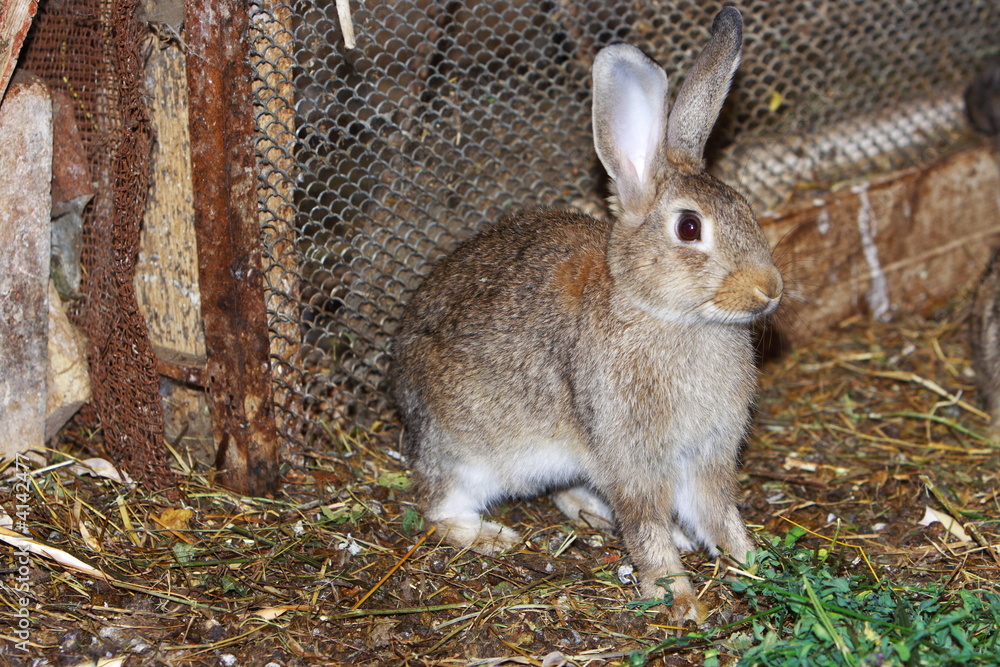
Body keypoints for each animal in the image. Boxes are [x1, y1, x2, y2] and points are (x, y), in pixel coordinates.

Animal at [390, 7, 782, 624]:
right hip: (463, 452)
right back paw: (490, 535)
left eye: (746, 208)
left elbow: (718, 514)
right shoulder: (631, 456)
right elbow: (646, 527)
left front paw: (757, 564)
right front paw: (680, 600)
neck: (668, 316)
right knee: (437, 506)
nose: (769, 290)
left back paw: (591, 511)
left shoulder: (706, 456)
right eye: (689, 227)